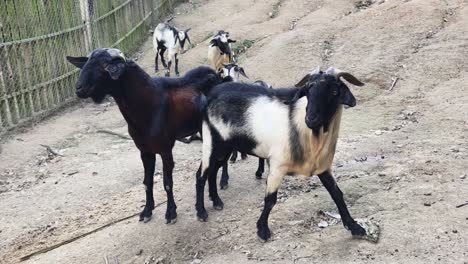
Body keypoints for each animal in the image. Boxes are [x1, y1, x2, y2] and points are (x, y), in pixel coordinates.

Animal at [195, 66, 370, 241]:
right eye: (308, 90)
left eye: (334, 91)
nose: (310, 119)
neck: (306, 131)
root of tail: (213, 93)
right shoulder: (277, 165)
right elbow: (270, 200)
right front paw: (262, 230)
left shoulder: (323, 166)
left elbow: (337, 194)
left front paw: (355, 227)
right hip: (213, 142)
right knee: (201, 174)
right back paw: (201, 212)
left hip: (225, 148)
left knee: (212, 171)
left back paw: (216, 201)